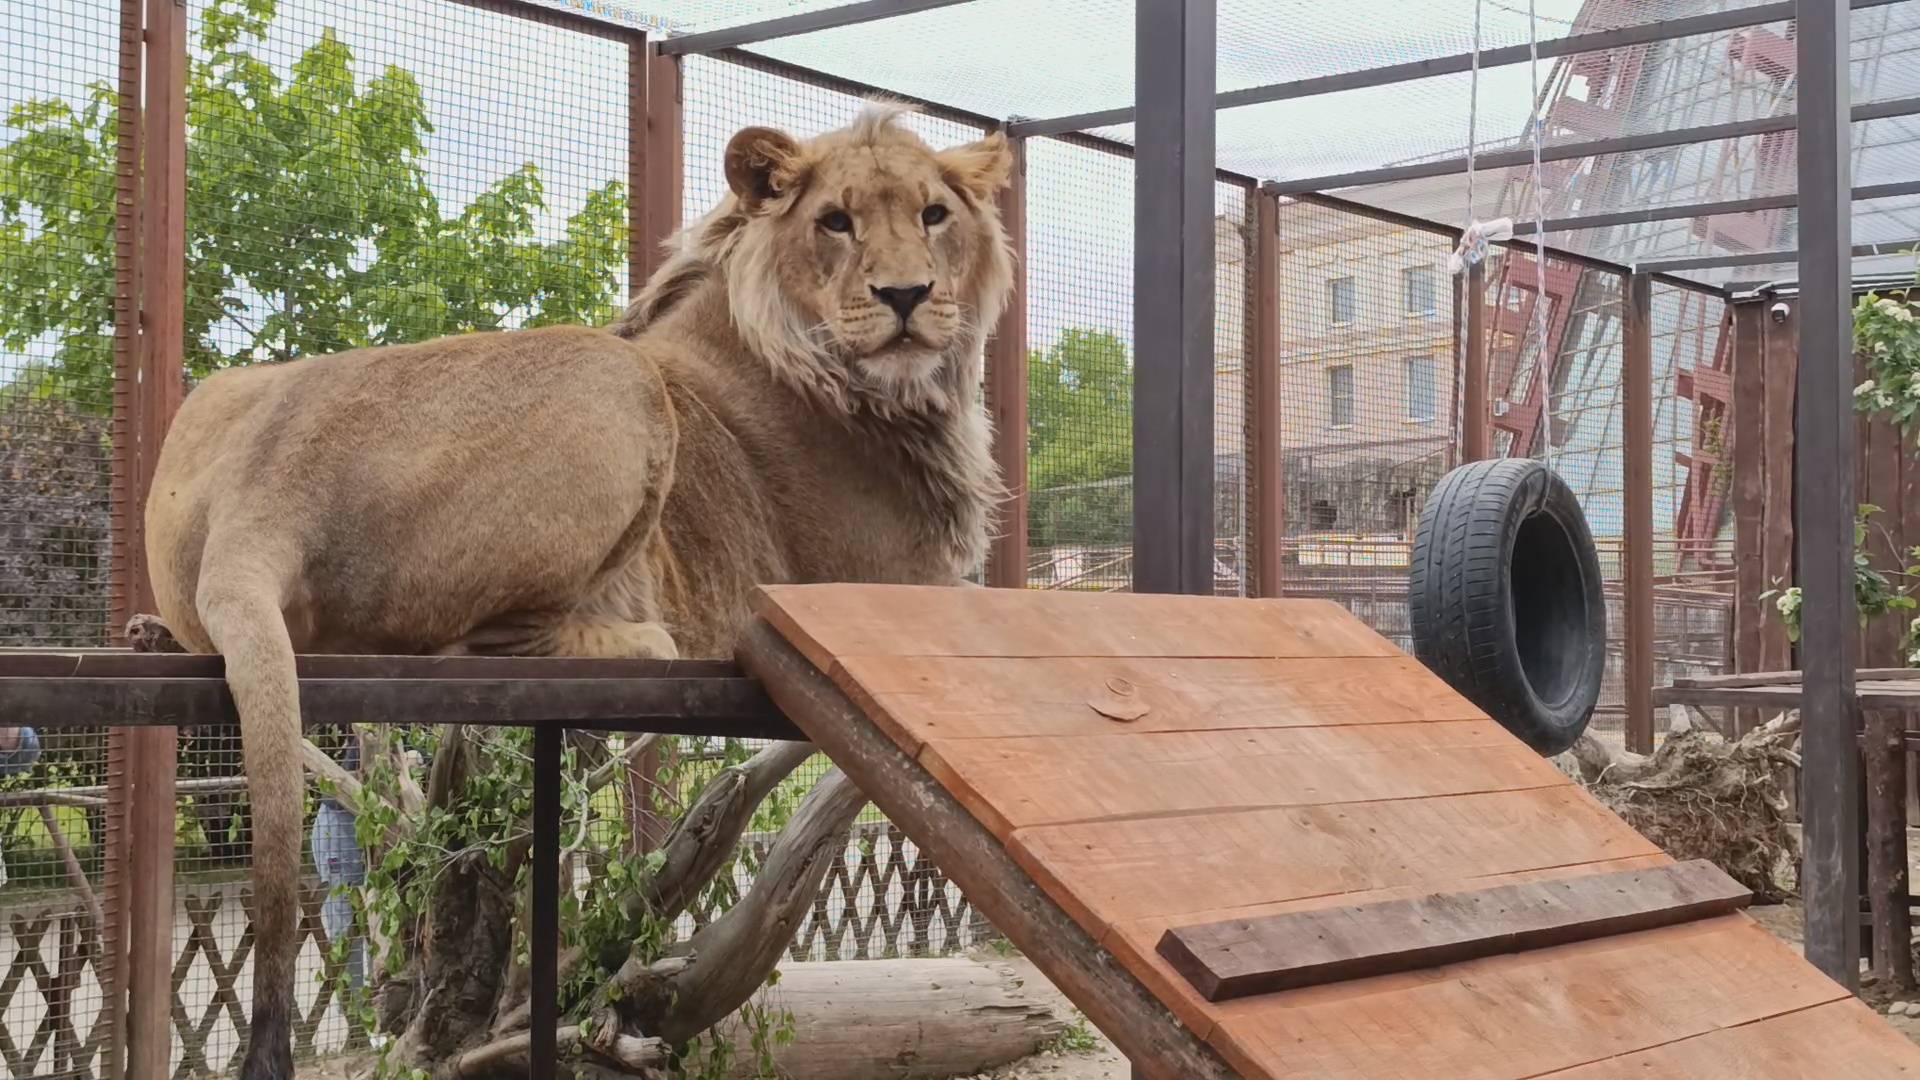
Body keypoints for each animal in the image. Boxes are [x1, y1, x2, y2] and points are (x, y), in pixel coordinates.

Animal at [141, 102, 1015, 1079]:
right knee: (473, 645)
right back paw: (650, 638)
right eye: (836, 221)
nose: (906, 296)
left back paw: (148, 631)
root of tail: (268, 484)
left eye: (935, 214)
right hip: (614, 380)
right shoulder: (897, 586)